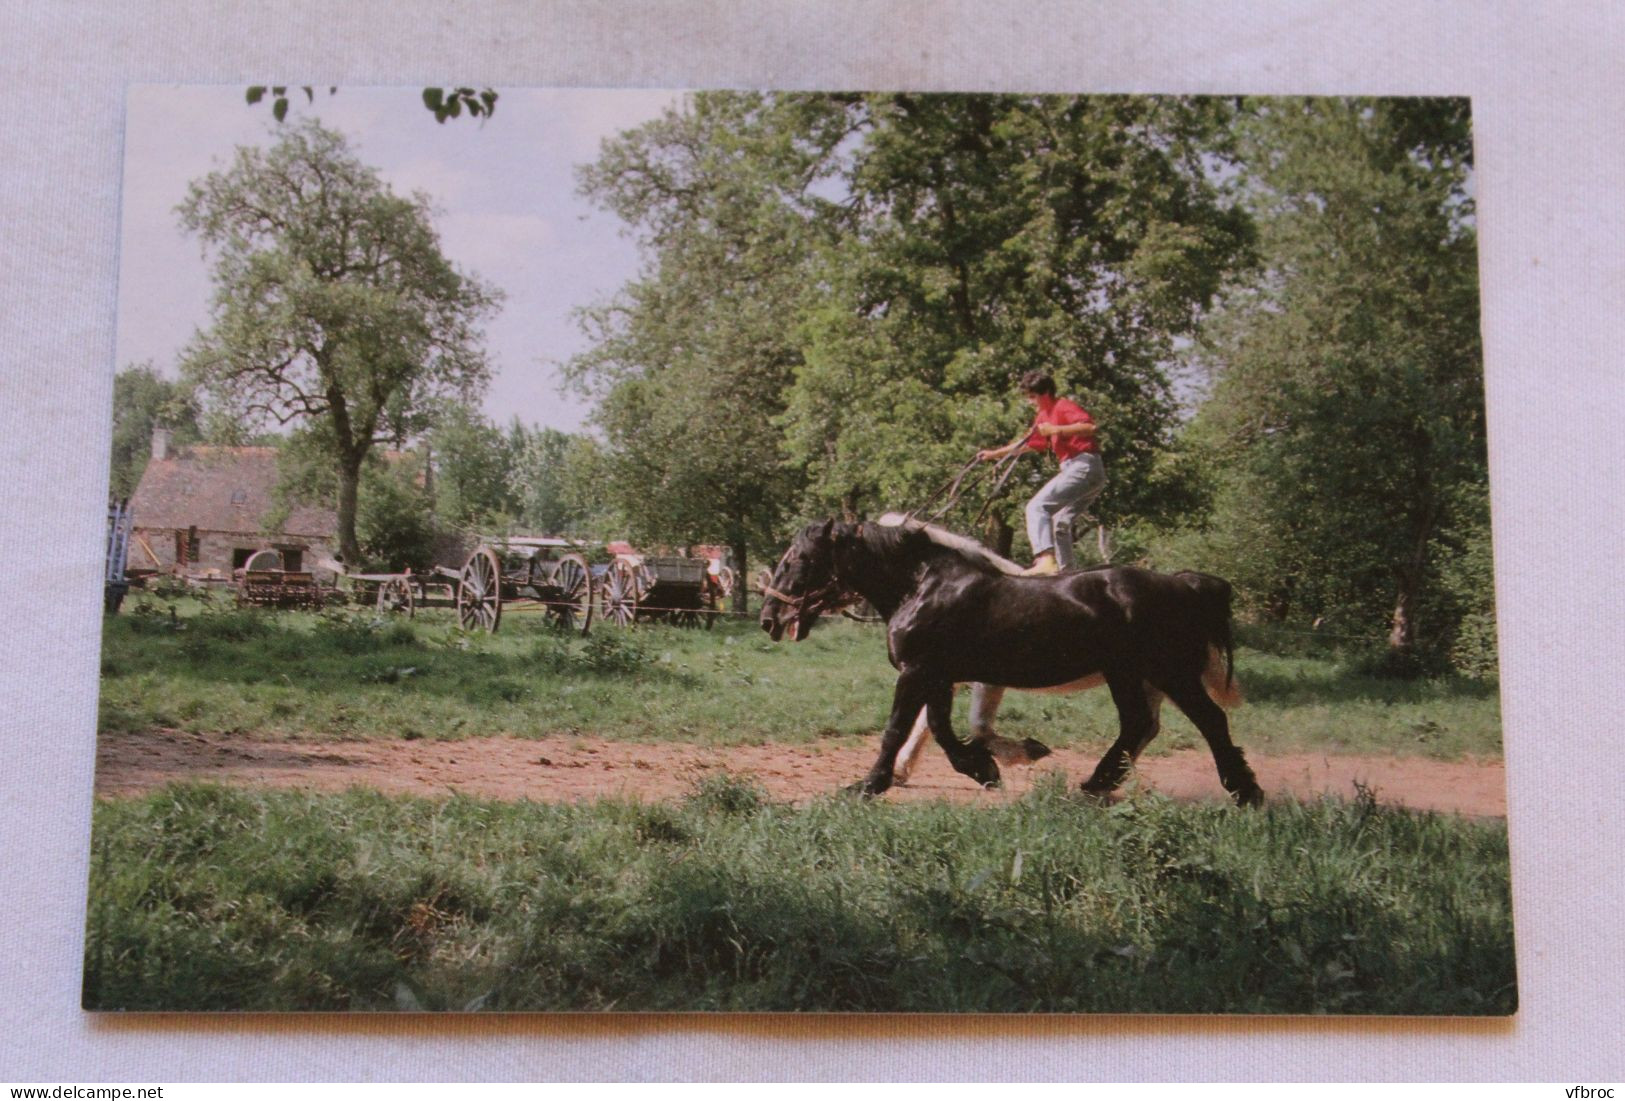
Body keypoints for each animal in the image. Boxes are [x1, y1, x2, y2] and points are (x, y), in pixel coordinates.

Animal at [759, 516, 1263, 806]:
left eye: (799, 558)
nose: (769, 618)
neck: (922, 586)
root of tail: (1183, 584)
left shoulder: (918, 673)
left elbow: (897, 730)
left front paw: (867, 786)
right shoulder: (939, 676)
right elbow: (940, 730)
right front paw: (984, 769)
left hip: (1168, 672)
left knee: (1209, 721)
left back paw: (1246, 791)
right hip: (1125, 674)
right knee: (1138, 725)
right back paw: (1094, 785)